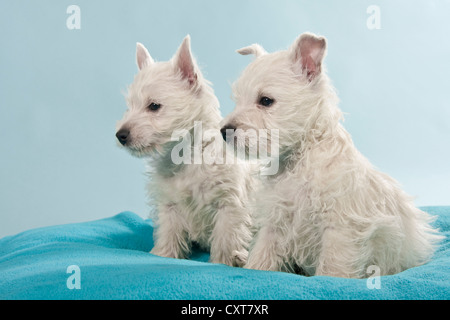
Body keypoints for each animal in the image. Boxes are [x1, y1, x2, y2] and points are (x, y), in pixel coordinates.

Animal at [117, 35, 253, 266]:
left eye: (154, 106)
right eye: (129, 107)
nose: (120, 135)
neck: (185, 157)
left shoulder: (229, 206)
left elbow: (225, 240)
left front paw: (223, 262)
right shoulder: (170, 205)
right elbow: (170, 234)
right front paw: (163, 254)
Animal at [222, 33, 442, 278]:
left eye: (266, 100)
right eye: (237, 100)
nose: (224, 131)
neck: (300, 158)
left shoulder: (340, 227)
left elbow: (332, 268)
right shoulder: (277, 219)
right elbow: (263, 253)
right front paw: (254, 266)